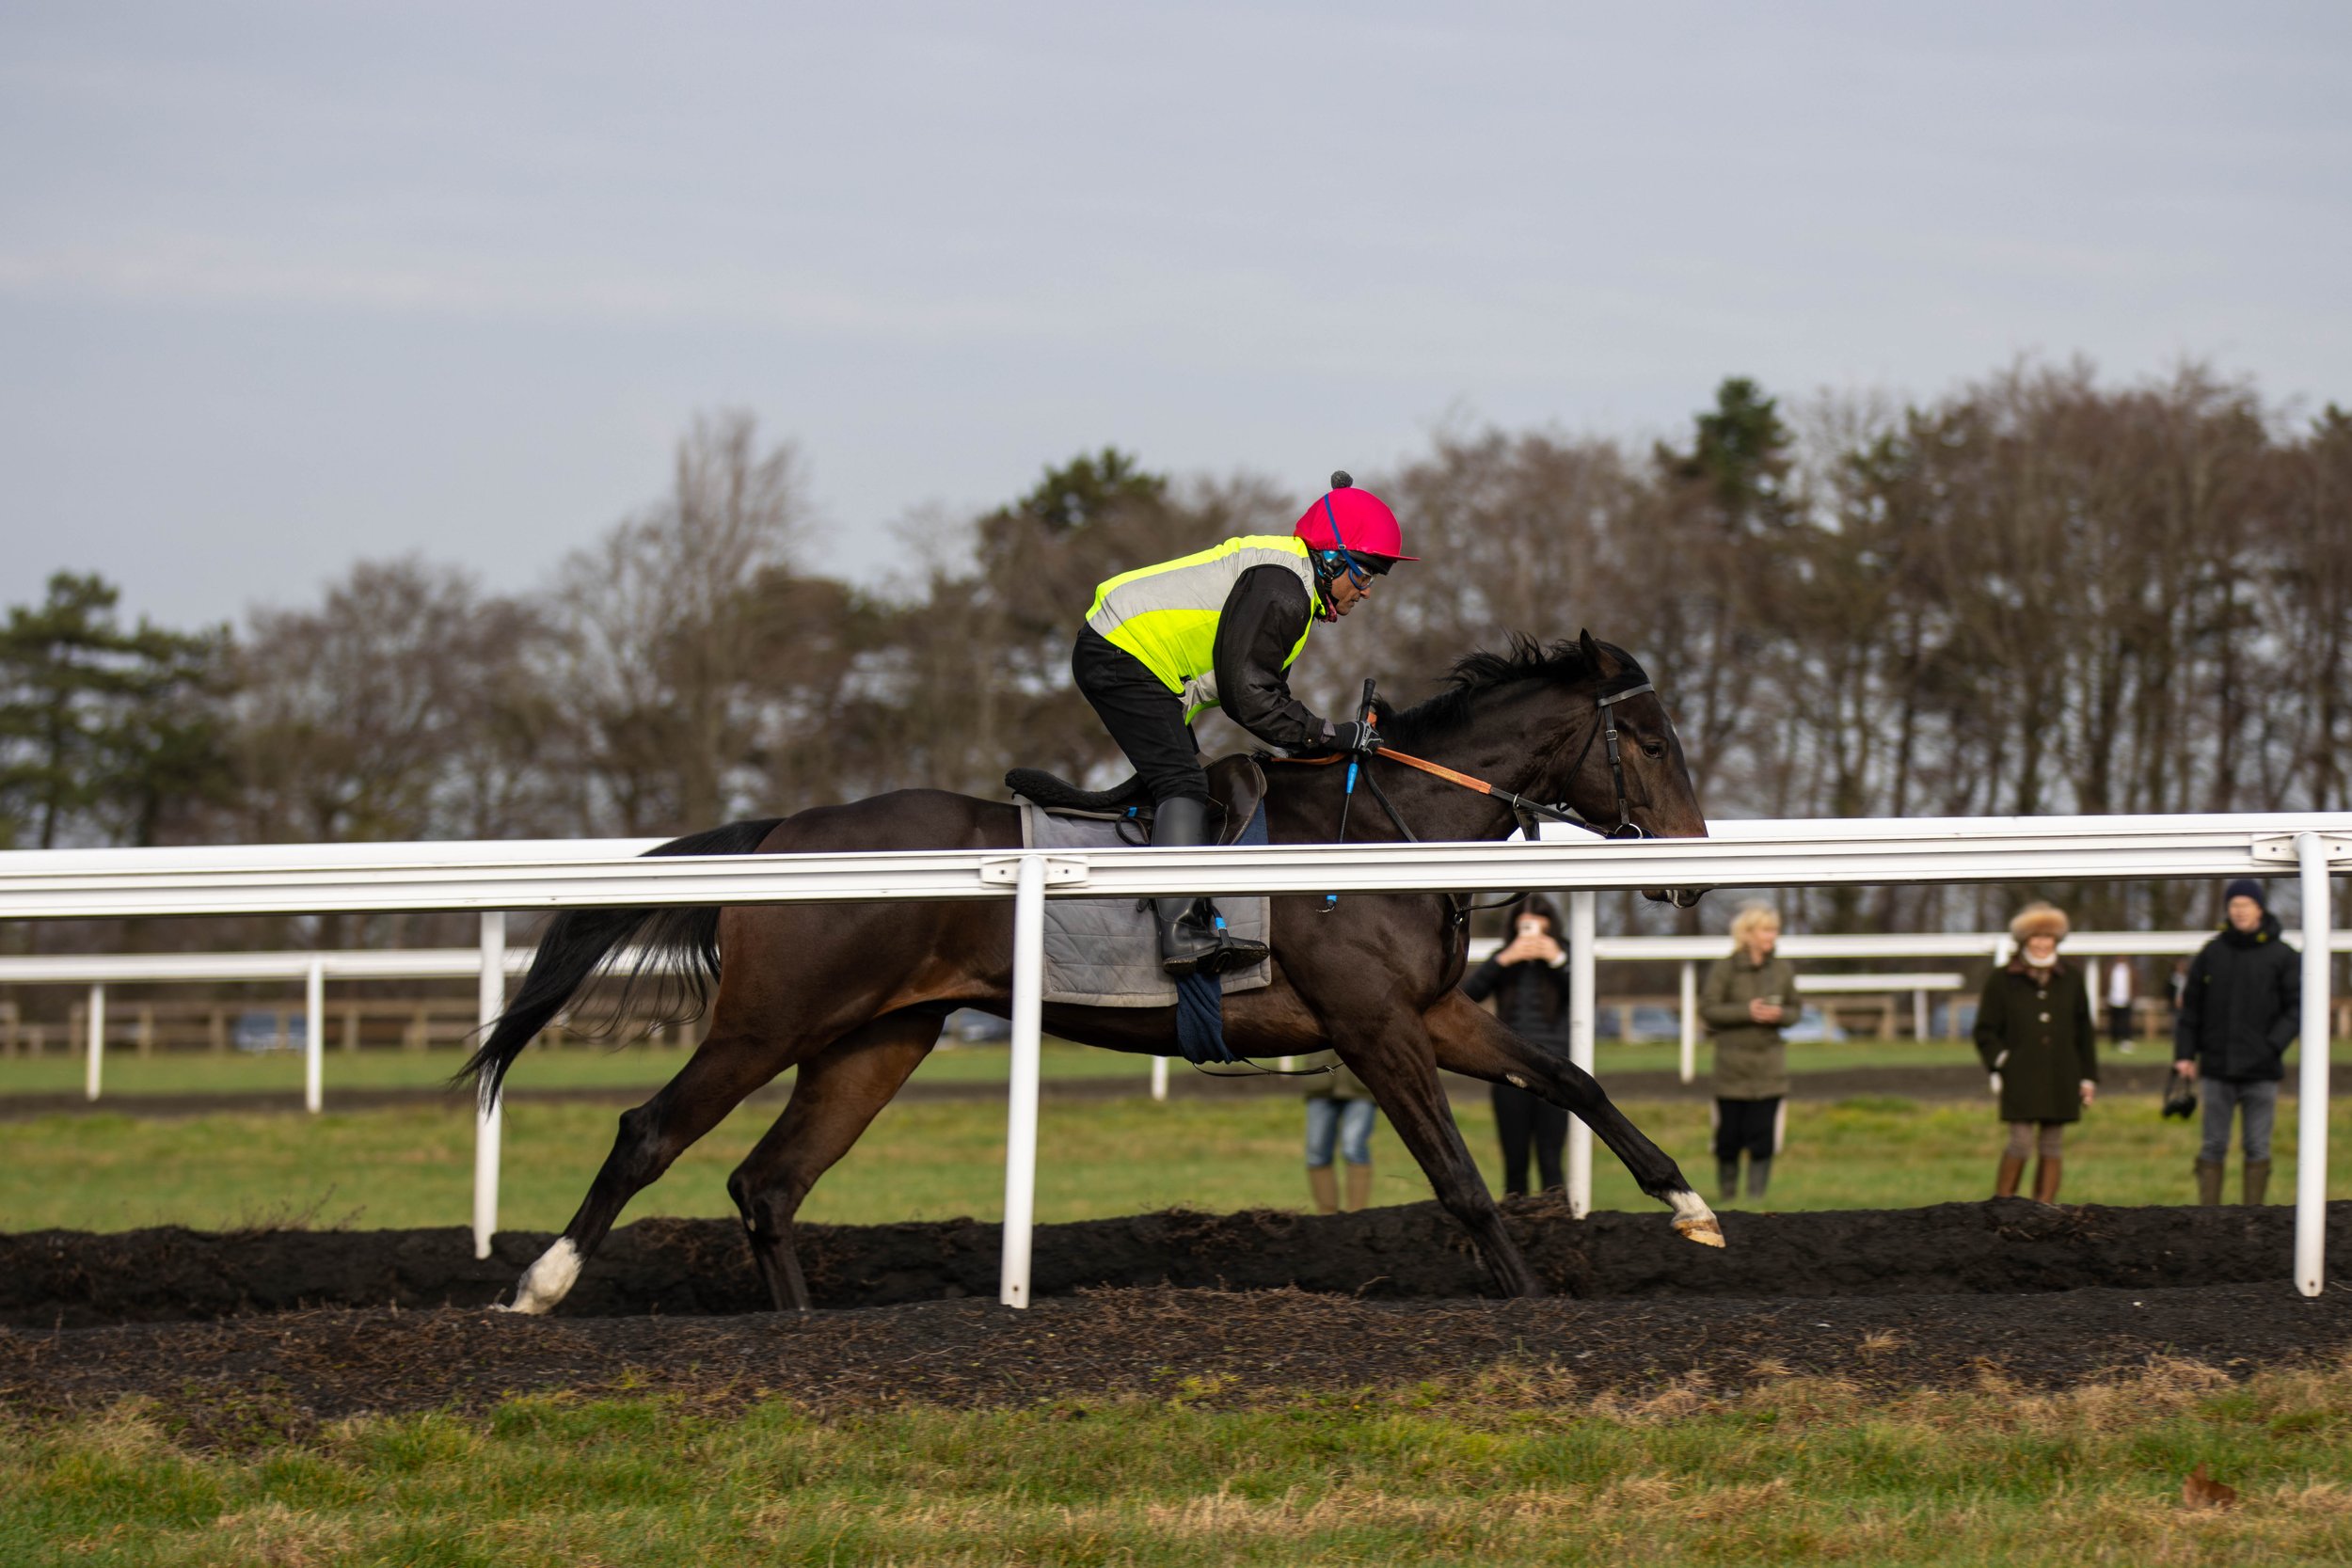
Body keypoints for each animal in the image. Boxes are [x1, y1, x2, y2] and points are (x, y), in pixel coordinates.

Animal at [463, 629, 1731, 1316]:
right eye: (1650, 740)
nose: (1693, 866)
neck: (1378, 824)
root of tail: (783, 831)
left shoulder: (1429, 1009)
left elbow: (1571, 1078)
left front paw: (1691, 1206)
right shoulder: (1373, 1024)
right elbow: (1460, 1177)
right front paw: (1530, 1304)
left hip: (876, 1040)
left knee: (768, 1183)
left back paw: (806, 1330)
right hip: (768, 1021)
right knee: (650, 1133)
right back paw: (539, 1284)